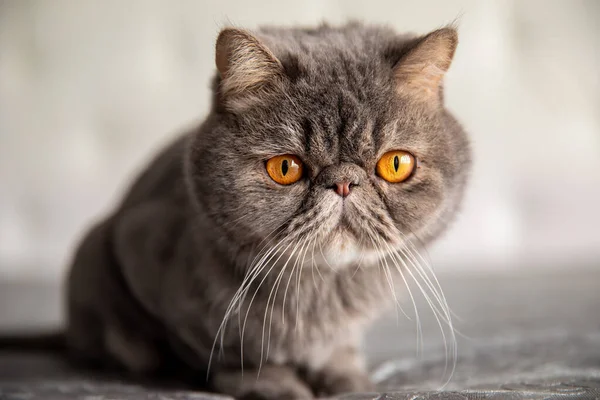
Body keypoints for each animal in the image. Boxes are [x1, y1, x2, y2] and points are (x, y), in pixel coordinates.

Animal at [45, 22, 468, 400]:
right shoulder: (145, 257)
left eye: (395, 164)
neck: (322, 292)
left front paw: (346, 378)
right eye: (285, 167)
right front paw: (272, 384)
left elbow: (340, 353)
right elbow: (234, 354)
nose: (344, 182)